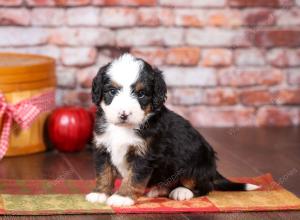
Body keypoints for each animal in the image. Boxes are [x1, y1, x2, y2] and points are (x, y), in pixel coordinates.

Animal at [85, 53, 258, 206]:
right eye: (112, 91)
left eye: (141, 94)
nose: (124, 114)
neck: (124, 128)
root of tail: (213, 170)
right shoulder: (102, 147)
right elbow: (103, 173)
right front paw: (100, 193)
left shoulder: (145, 154)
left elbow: (134, 177)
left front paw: (122, 197)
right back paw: (159, 189)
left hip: (196, 161)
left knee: (203, 186)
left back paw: (181, 191)